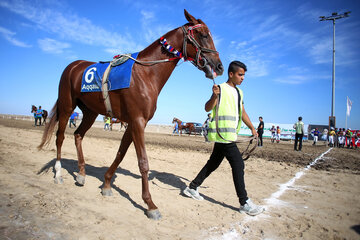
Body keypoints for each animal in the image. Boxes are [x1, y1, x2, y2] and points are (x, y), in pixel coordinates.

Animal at [38, 9, 222, 219]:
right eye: (204, 35)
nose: (219, 66)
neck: (146, 73)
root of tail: (72, 66)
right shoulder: (137, 121)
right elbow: (143, 162)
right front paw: (150, 204)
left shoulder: (133, 122)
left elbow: (120, 153)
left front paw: (106, 184)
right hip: (67, 107)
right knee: (60, 137)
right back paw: (59, 173)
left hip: (90, 112)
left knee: (78, 135)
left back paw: (81, 174)